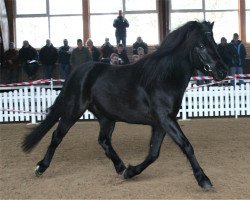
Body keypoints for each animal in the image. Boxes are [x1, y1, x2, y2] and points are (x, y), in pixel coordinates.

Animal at [22, 21, 228, 190]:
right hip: (73, 110)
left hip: (106, 118)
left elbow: (153, 153)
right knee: (57, 136)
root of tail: (78, 71)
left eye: (214, 43)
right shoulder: (166, 119)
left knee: (104, 141)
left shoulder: (160, 123)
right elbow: (186, 145)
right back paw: (40, 167)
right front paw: (204, 180)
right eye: (200, 45)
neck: (163, 78)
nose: (223, 71)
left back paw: (120, 167)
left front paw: (130, 171)